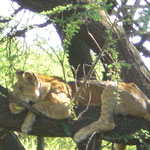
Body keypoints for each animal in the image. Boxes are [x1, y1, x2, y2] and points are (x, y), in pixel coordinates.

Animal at [9, 70, 150, 150]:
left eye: (20, 88)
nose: (11, 100)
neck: (46, 87)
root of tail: (146, 99)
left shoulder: (64, 106)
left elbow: (36, 105)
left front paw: (25, 123)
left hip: (111, 87)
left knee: (108, 122)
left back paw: (80, 134)